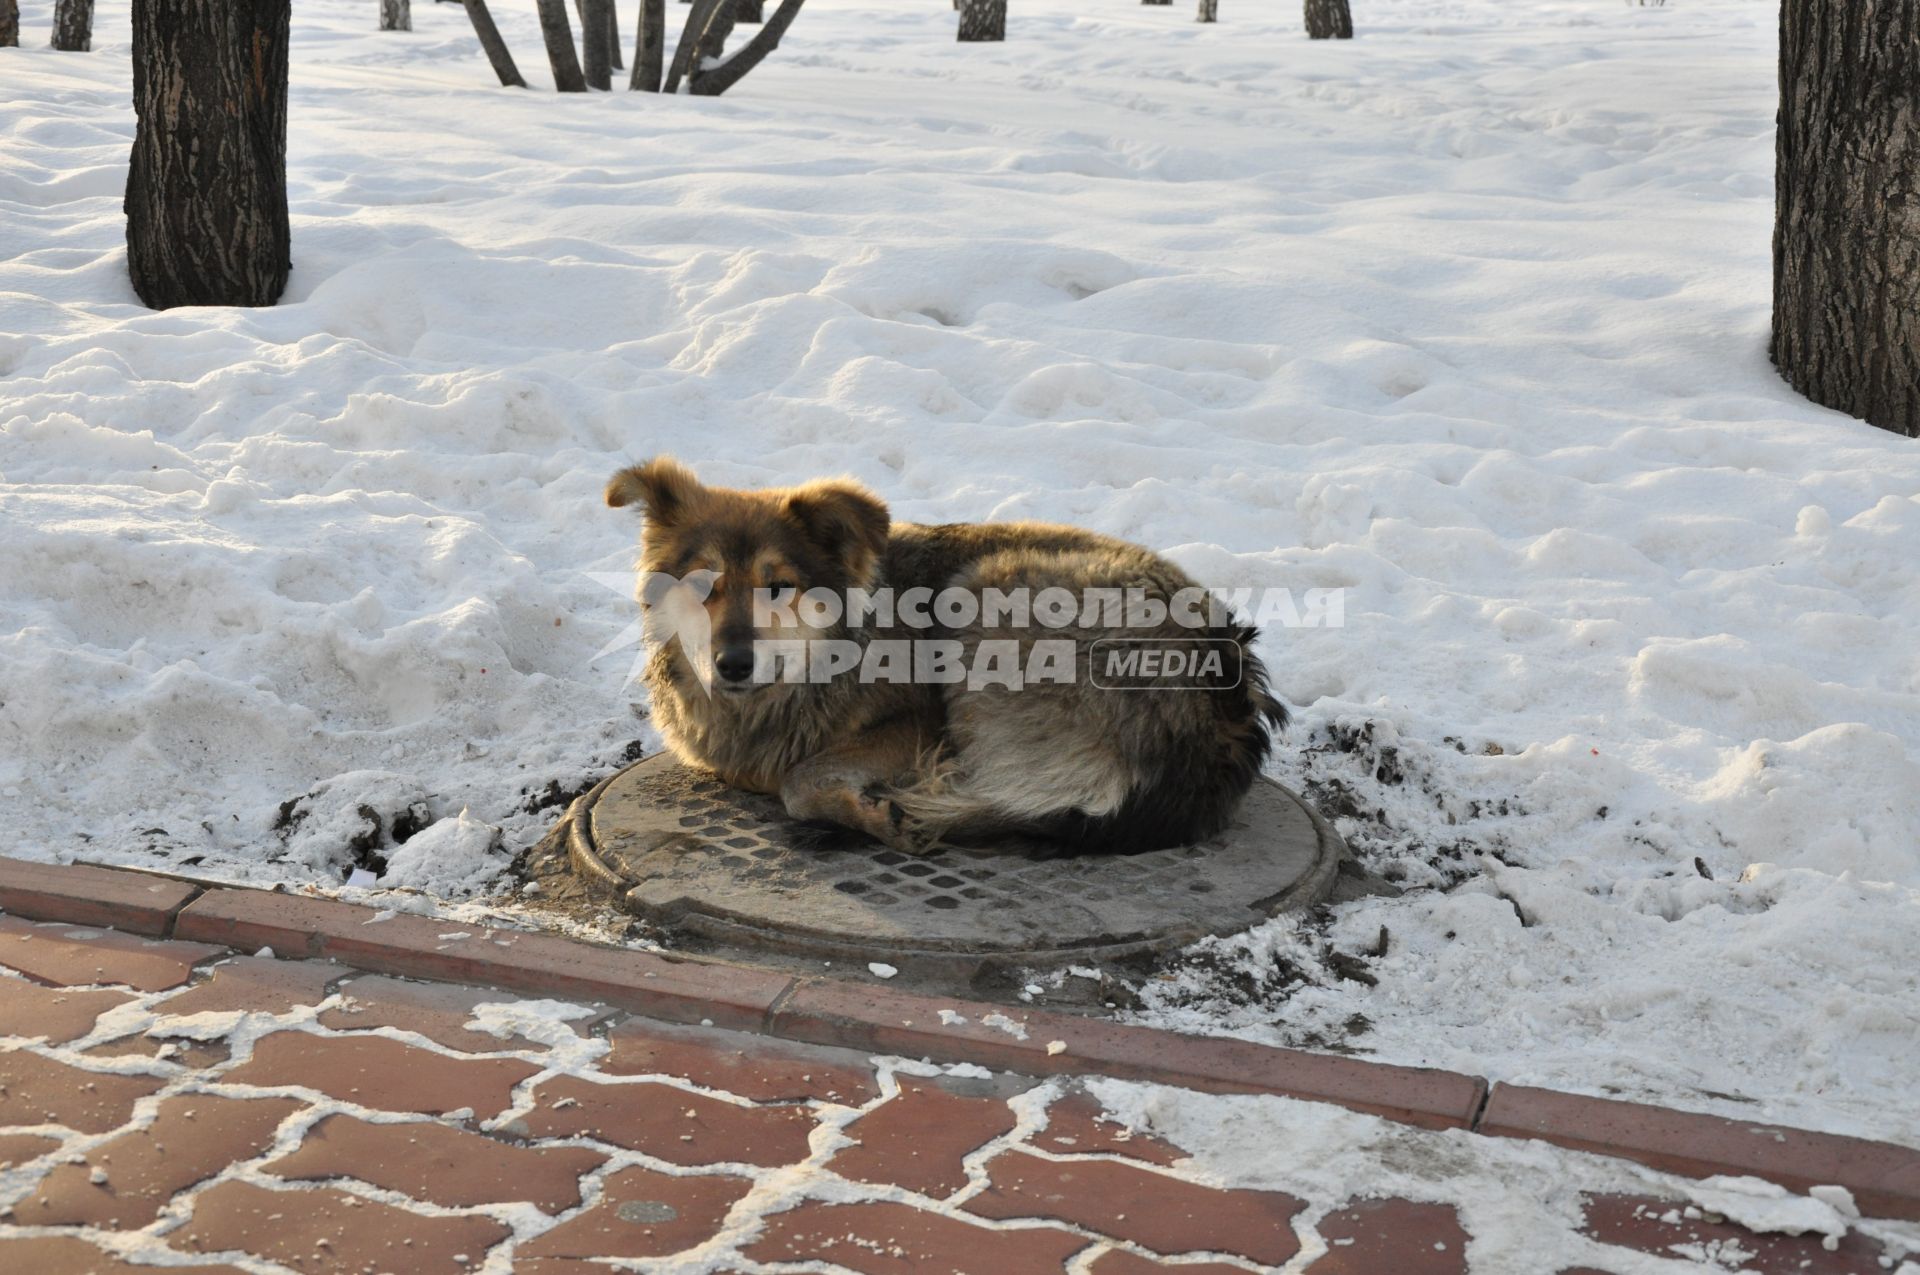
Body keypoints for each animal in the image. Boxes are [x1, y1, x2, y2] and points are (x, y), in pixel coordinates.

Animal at [606, 458, 1282, 856]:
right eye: (704, 584)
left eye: (779, 586)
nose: (734, 665)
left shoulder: (919, 723)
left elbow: (800, 779)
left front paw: (875, 813)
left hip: (988, 593)